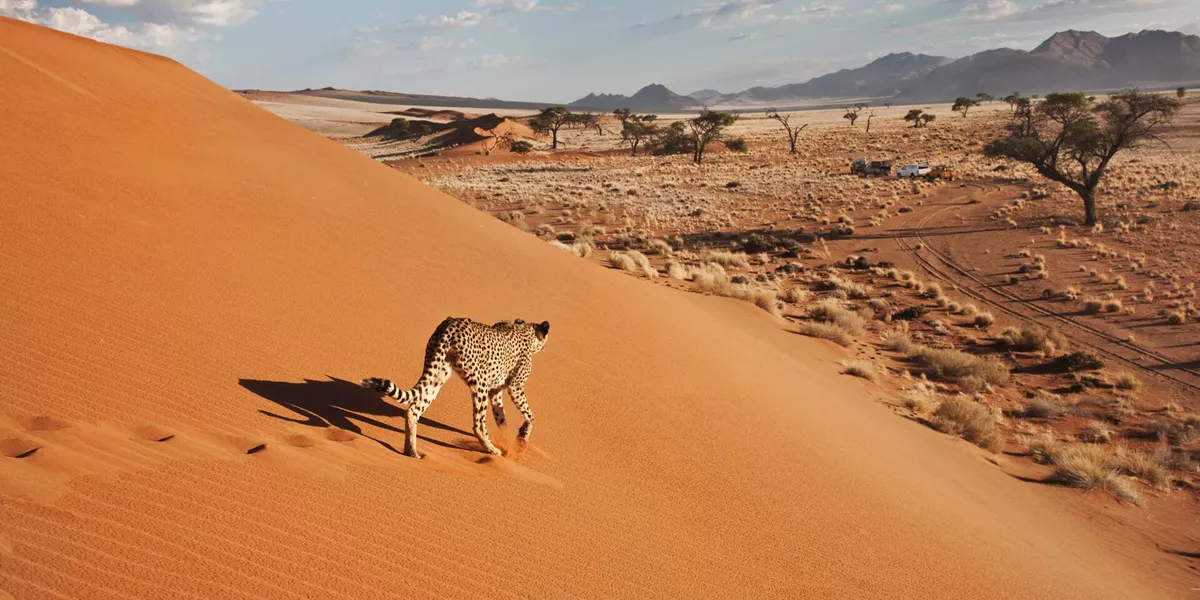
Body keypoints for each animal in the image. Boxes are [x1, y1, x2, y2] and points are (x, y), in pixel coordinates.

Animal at [362, 317, 550, 458]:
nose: (545, 348)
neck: (524, 330)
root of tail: (452, 324)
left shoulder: (495, 392)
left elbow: (502, 418)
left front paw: (509, 440)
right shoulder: (514, 387)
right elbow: (530, 415)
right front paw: (522, 436)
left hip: (438, 375)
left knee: (413, 409)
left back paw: (411, 451)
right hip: (479, 383)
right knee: (478, 424)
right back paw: (491, 449)